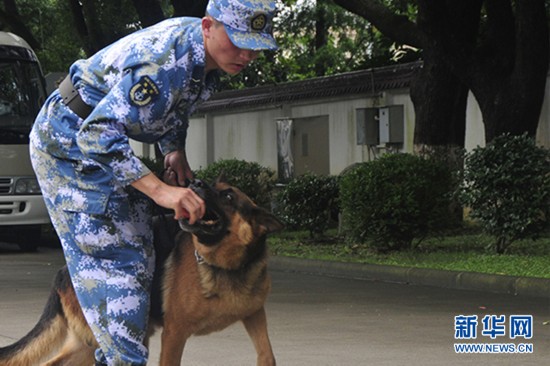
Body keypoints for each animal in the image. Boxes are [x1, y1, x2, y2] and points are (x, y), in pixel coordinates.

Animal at [0, 180, 284, 366]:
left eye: (228, 197)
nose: (195, 183)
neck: (226, 266)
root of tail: (63, 272)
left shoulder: (255, 314)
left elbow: (267, 355)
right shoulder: (174, 334)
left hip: (87, 343)